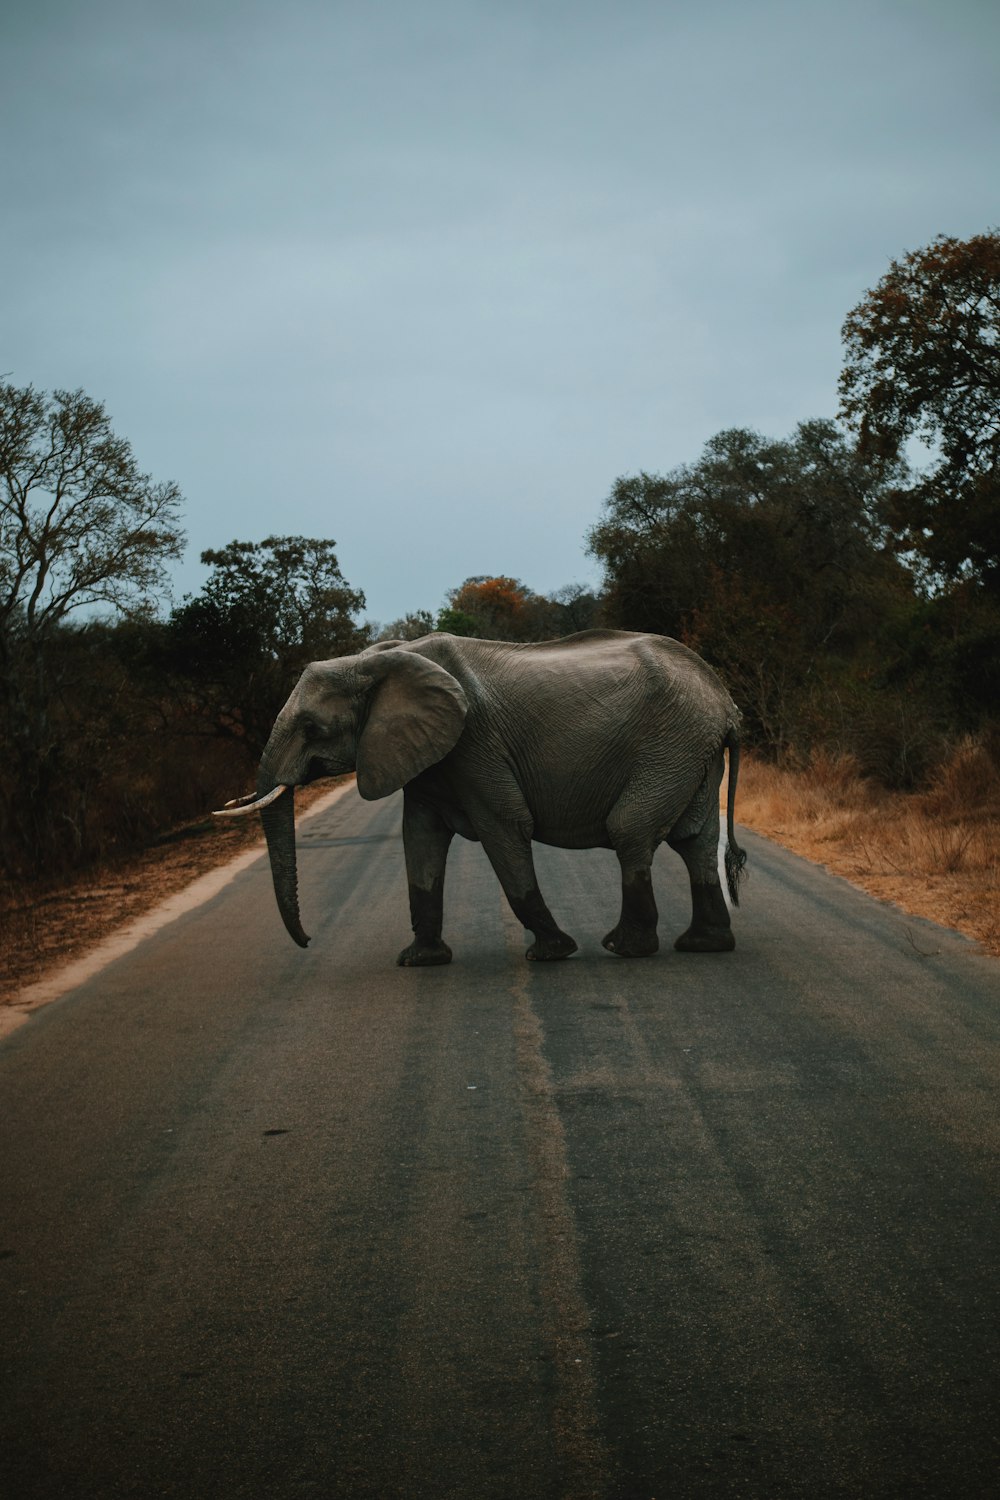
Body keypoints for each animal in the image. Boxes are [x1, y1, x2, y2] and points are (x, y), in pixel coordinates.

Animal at [220, 627, 749, 966]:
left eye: (313, 728)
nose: (308, 942)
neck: (376, 659)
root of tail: (726, 703)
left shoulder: (475, 744)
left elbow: (506, 828)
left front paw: (552, 952)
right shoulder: (426, 757)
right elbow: (421, 840)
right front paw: (419, 961)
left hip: (671, 744)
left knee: (631, 831)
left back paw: (624, 948)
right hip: (691, 751)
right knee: (696, 840)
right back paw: (704, 945)